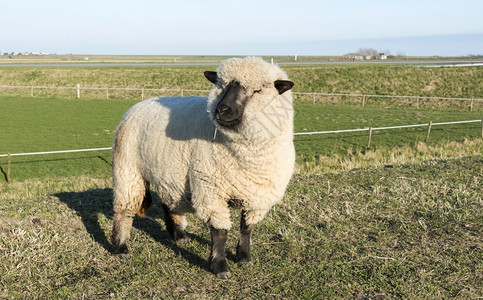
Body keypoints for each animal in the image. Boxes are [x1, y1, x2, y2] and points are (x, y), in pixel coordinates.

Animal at [111, 56, 296, 278]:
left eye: (258, 90)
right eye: (221, 85)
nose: (221, 110)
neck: (247, 156)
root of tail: (138, 105)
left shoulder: (259, 196)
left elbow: (247, 228)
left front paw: (244, 257)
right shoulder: (211, 190)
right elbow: (220, 232)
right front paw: (220, 266)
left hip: (167, 172)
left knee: (167, 202)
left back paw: (179, 235)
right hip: (128, 168)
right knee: (124, 208)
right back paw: (121, 247)